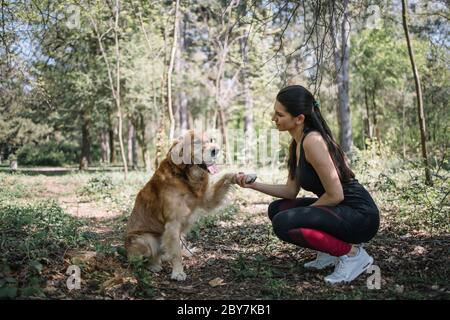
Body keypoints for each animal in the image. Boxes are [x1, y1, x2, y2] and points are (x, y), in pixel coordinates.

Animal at [123, 129, 236, 280]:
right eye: (197, 142)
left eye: (211, 140)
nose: (216, 150)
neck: (185, 177)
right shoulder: (173, 223)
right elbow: (176, 254)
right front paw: (178, 272)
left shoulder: (207, 200)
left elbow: (225, 178)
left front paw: (244, 176)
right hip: (144, 239)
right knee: (151, 256)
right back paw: (154, 265)